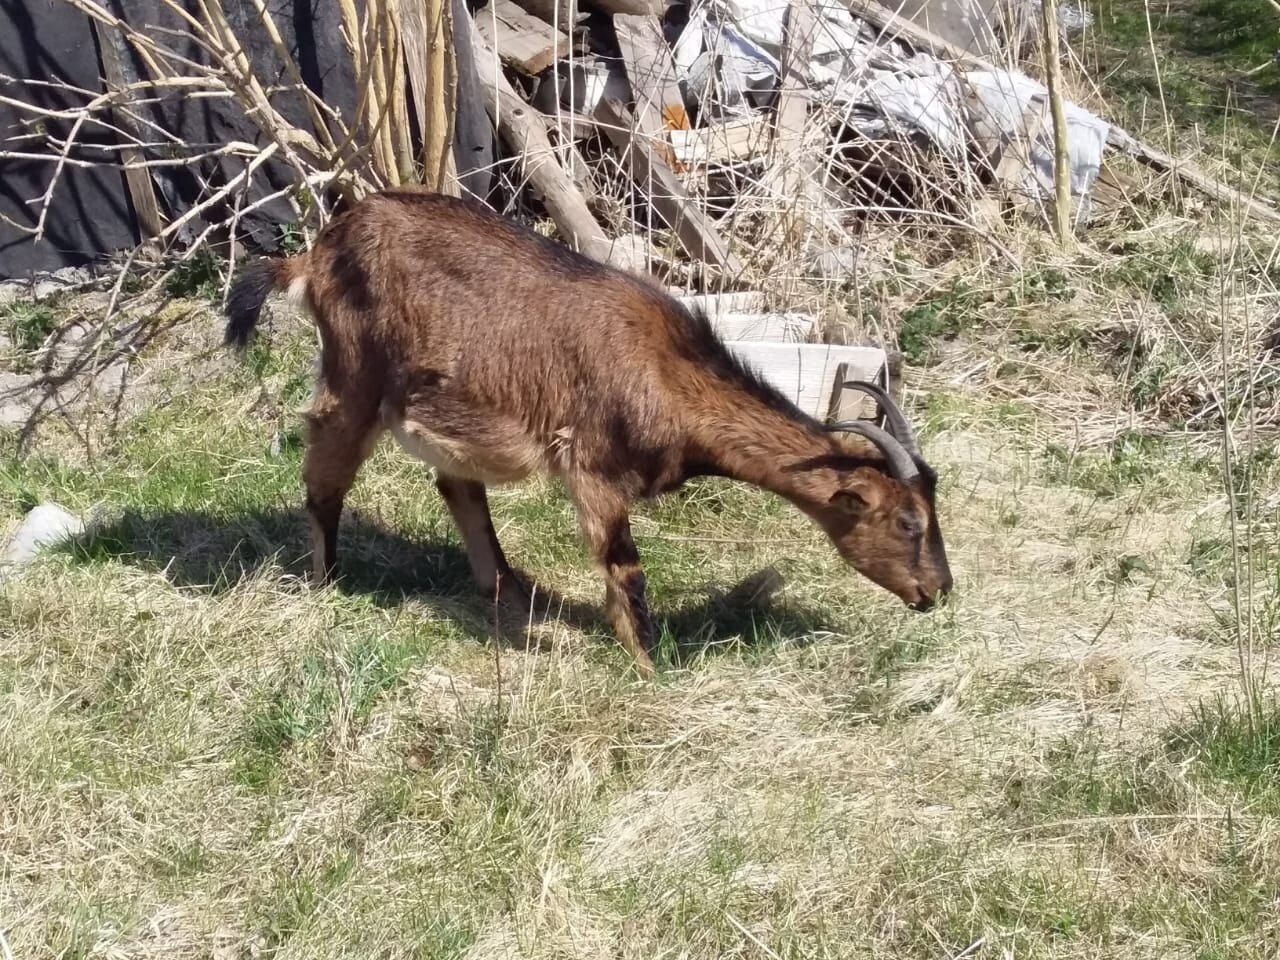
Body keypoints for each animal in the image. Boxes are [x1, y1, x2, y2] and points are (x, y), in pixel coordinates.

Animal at [225, 189, 957, 675]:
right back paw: (325, 583)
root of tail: (314, 255)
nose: (939, 592)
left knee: (457, 488)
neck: (666, 369)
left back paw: (509, 589)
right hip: (354, 374)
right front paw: (650, 668)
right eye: (908, 523)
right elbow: (626, 568)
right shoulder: (595, 467)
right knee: (326, 470)